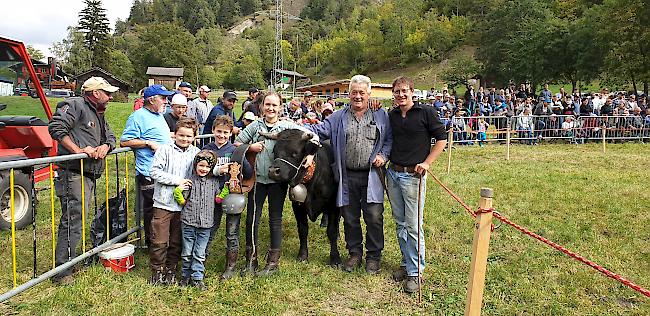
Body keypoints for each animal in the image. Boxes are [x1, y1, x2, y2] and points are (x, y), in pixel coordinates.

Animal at [258, 129, 342, 266]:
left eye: (295, 153)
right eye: (275, 151)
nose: (273, 171)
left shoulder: (334, 205)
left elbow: (332, 231)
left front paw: (335, 259)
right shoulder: (297, 206)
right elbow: (303, 230)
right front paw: (302, 255)